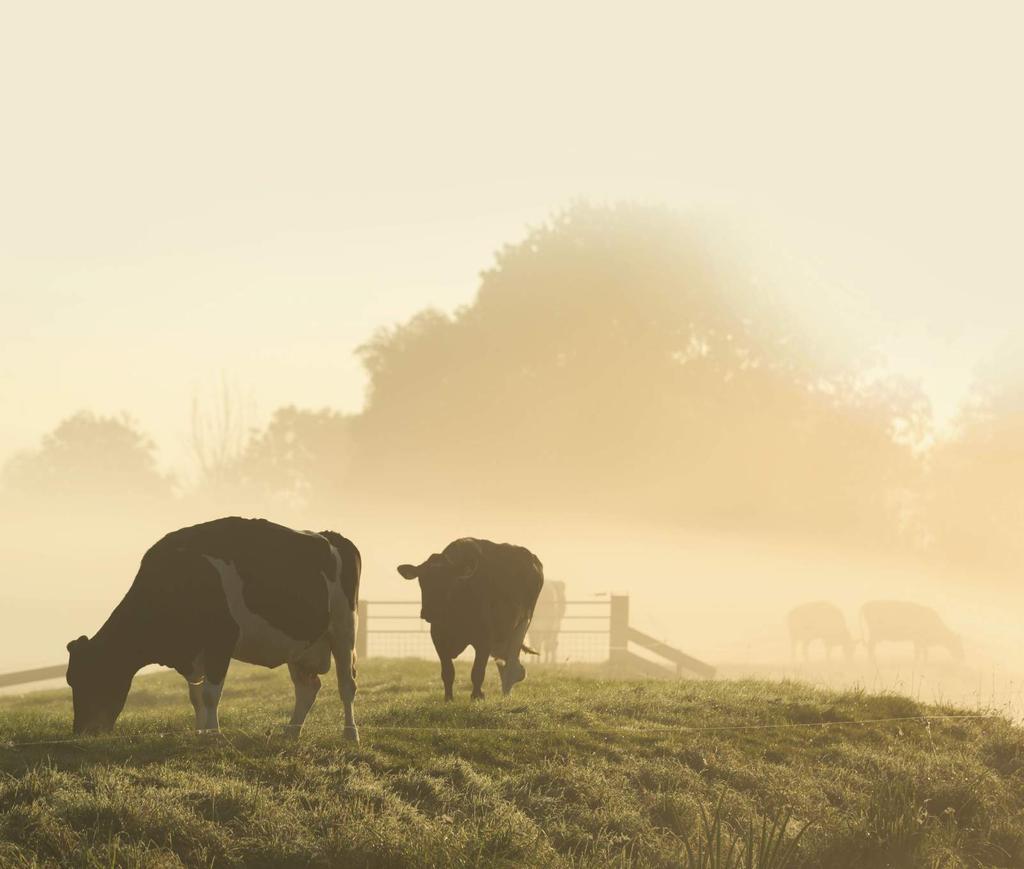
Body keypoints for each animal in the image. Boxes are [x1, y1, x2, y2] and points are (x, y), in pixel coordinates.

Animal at [66, 511, 362, 741]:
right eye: (71, 680)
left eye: (95, 676)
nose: (81, 732)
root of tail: (331, 536)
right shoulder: (194, 652)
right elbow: (196, 696)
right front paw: (200, 733)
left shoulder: (221, 642)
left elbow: (210, 694)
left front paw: (214, 734)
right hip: (299, 646)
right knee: (308, 688)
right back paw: (291, 732)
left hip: (344, 629)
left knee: (346, 684)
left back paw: (350, 734)